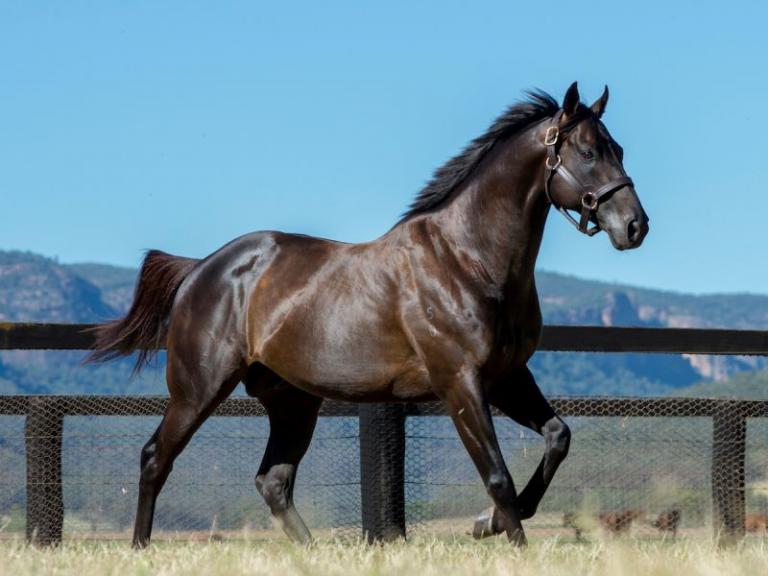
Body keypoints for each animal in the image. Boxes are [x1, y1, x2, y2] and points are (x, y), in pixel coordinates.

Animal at [88, 82, 649, 548]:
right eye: (588, 151)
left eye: (619, 149)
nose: (635, 226)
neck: (468, 258)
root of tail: (200, 269)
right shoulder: (460, 381)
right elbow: (497, 475)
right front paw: (508, 539)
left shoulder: (508, 376)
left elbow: (558, 438)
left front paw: (483, 524)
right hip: (199, 389)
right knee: (156, 458)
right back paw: (140, 548)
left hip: (293, 401)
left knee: (274, 482)